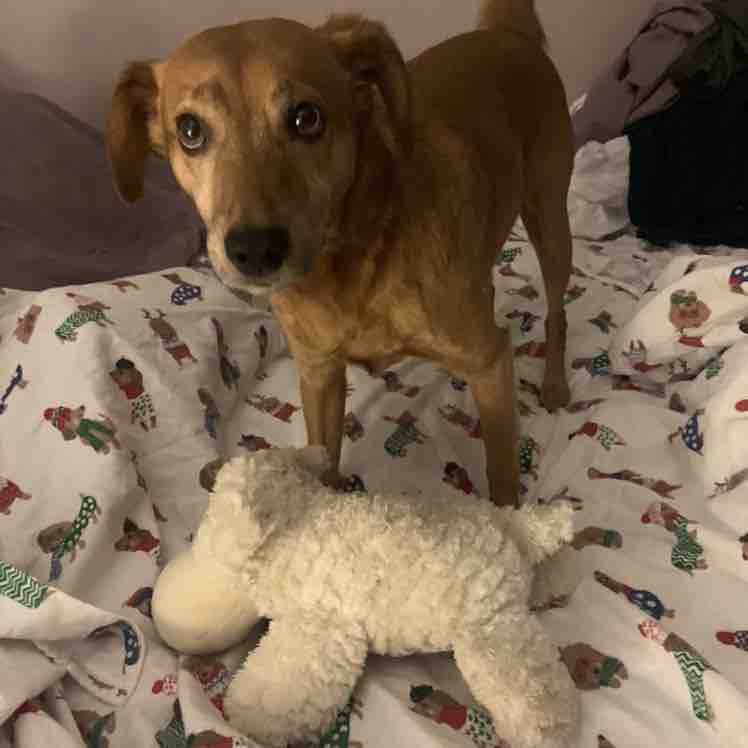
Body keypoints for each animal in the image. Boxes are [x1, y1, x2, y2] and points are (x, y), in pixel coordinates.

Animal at [107, 0, 573, 506]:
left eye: (306, 118)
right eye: (190, 130)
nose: (255, 249)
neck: (349, 269)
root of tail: (506, 32)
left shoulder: (489, 366)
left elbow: (502, 475)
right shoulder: (319, 376)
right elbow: (323, 462)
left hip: (550, 221)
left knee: (557, 309)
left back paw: (554, 384)